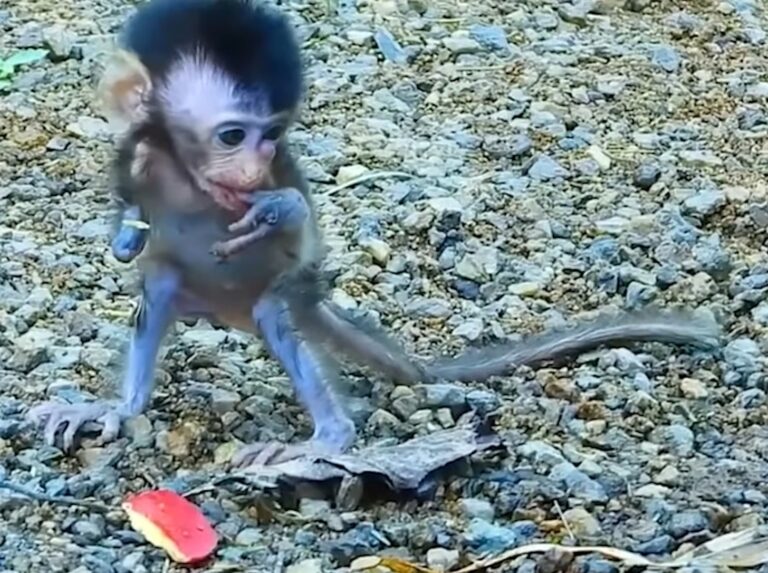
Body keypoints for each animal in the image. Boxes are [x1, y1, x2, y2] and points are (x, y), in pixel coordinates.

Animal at [28, 0, 722, 469]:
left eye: (273, 135)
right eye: (232, 135)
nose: (253, 168)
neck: (186, 173)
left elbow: (301, 232)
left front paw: (278, 209)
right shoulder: (135, 151)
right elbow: (131, 227)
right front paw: (126, 239)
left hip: (285, 291)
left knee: (278, 312)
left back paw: (328, 437)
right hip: (197, 293)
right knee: (163, 287)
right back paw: (121, 408)